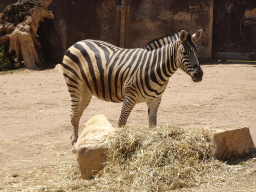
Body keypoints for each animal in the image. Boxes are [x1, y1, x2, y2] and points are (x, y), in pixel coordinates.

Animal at [61, 29, 203, 148]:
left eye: (196, 50)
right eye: (184, 52)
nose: (199, 74)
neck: (153, 67)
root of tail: (78, 42)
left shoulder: (155, 99)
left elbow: (152, 125)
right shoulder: (130, 97)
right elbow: (121, 123)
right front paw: (118, 144)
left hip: (86, 89)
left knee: (78, 113)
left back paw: (77, 138)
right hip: (74, 84)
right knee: (73, 112)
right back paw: (74, 141)